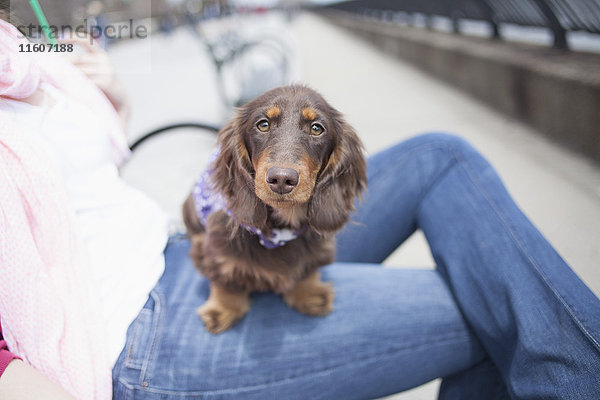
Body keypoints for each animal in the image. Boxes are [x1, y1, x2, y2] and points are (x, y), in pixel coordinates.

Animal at [180, 85, 366, 334]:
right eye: (263, 124)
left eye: (317, 128)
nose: (281, 179)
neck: (280, 228)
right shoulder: (217, 251)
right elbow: (226, 279)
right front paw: (224, 308)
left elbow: (307, 269)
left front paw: (308, 292)